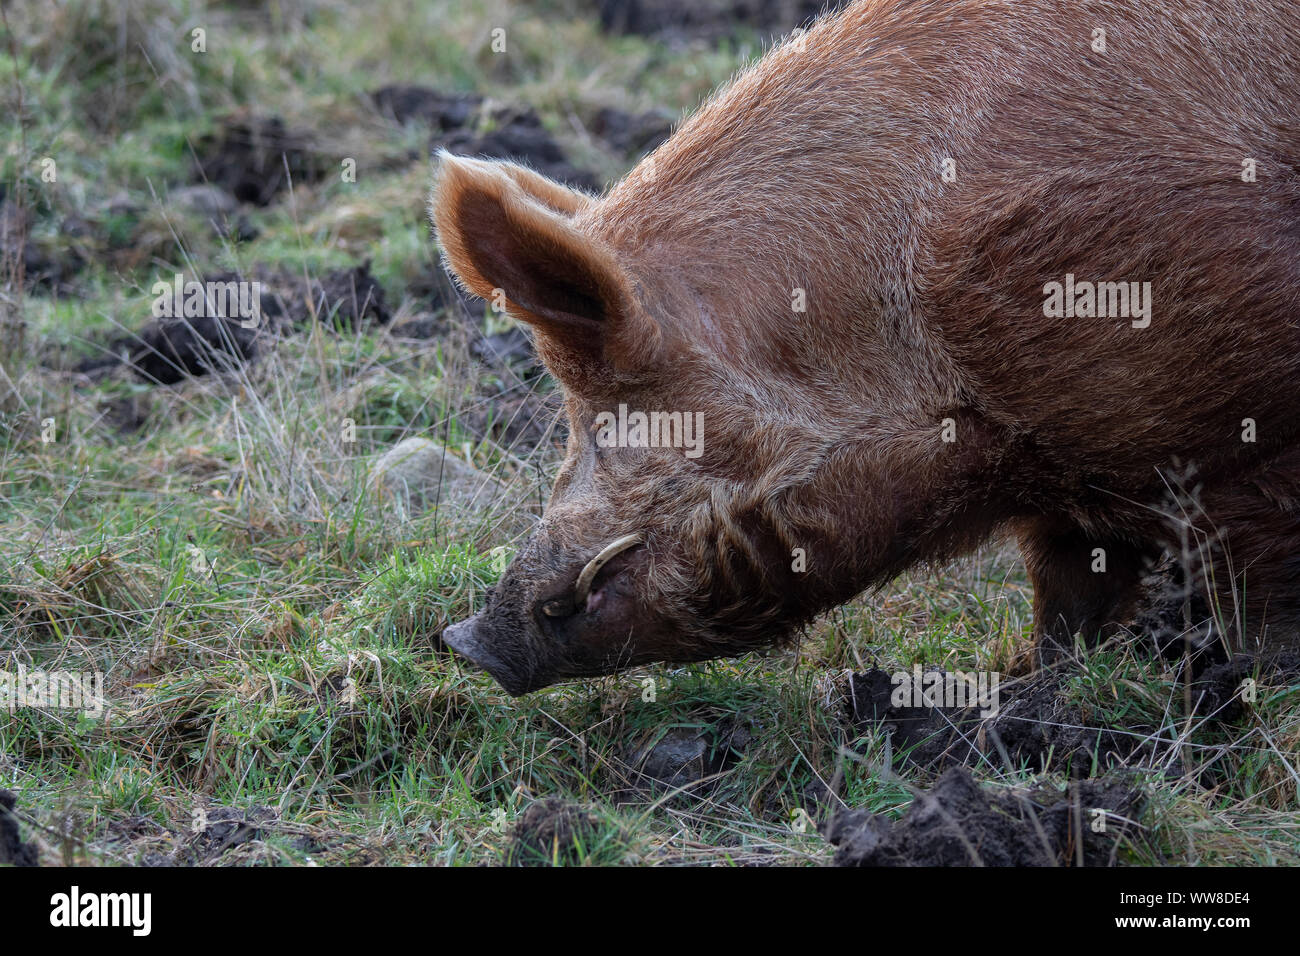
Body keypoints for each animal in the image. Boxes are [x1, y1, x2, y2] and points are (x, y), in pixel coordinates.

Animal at [434, 0, 1300, 697]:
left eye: (612, 417)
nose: (467, 642)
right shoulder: (1067, 488)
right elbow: (1069, 603)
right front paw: (1032, 690)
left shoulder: (1252, 443)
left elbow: (1264, 605)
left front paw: (1250, 693)